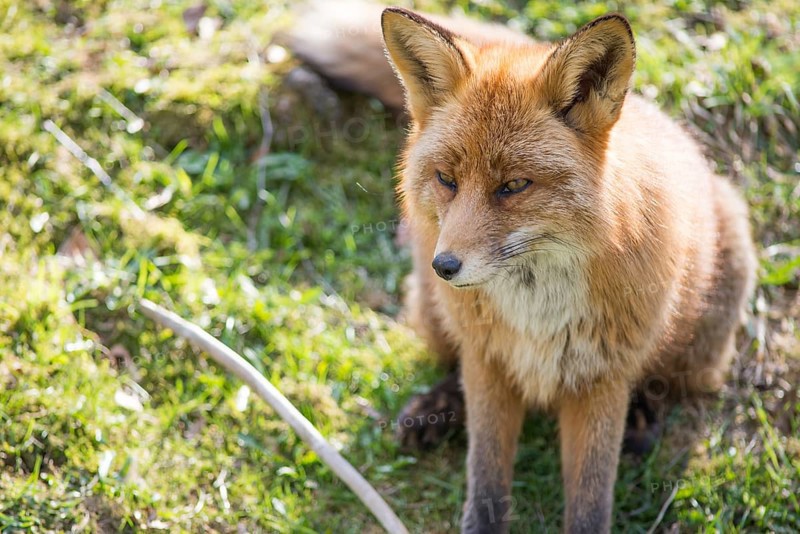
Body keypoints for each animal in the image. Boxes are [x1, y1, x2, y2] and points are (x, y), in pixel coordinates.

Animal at [284, 3, 757, 532]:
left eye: (513, 186)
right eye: (446, 179)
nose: (444, 266)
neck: (538, 310)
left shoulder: (601, 379)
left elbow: (590, 497)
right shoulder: (489, 359)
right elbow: (486, 475)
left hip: (703, 333)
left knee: (668, 385)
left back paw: (642, 414)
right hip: (435, 315)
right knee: (451, 365)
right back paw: (437, 407)